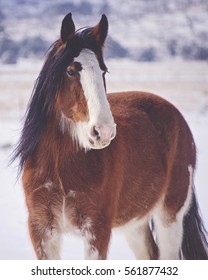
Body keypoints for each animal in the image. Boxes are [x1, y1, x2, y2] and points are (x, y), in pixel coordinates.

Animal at [12, 12, 207, 258]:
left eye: (103, 71)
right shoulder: (42, 231)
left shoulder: (97, 229)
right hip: (135, 223)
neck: (59, 166)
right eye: (71, 70)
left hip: (170, 216)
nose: (103, 131)